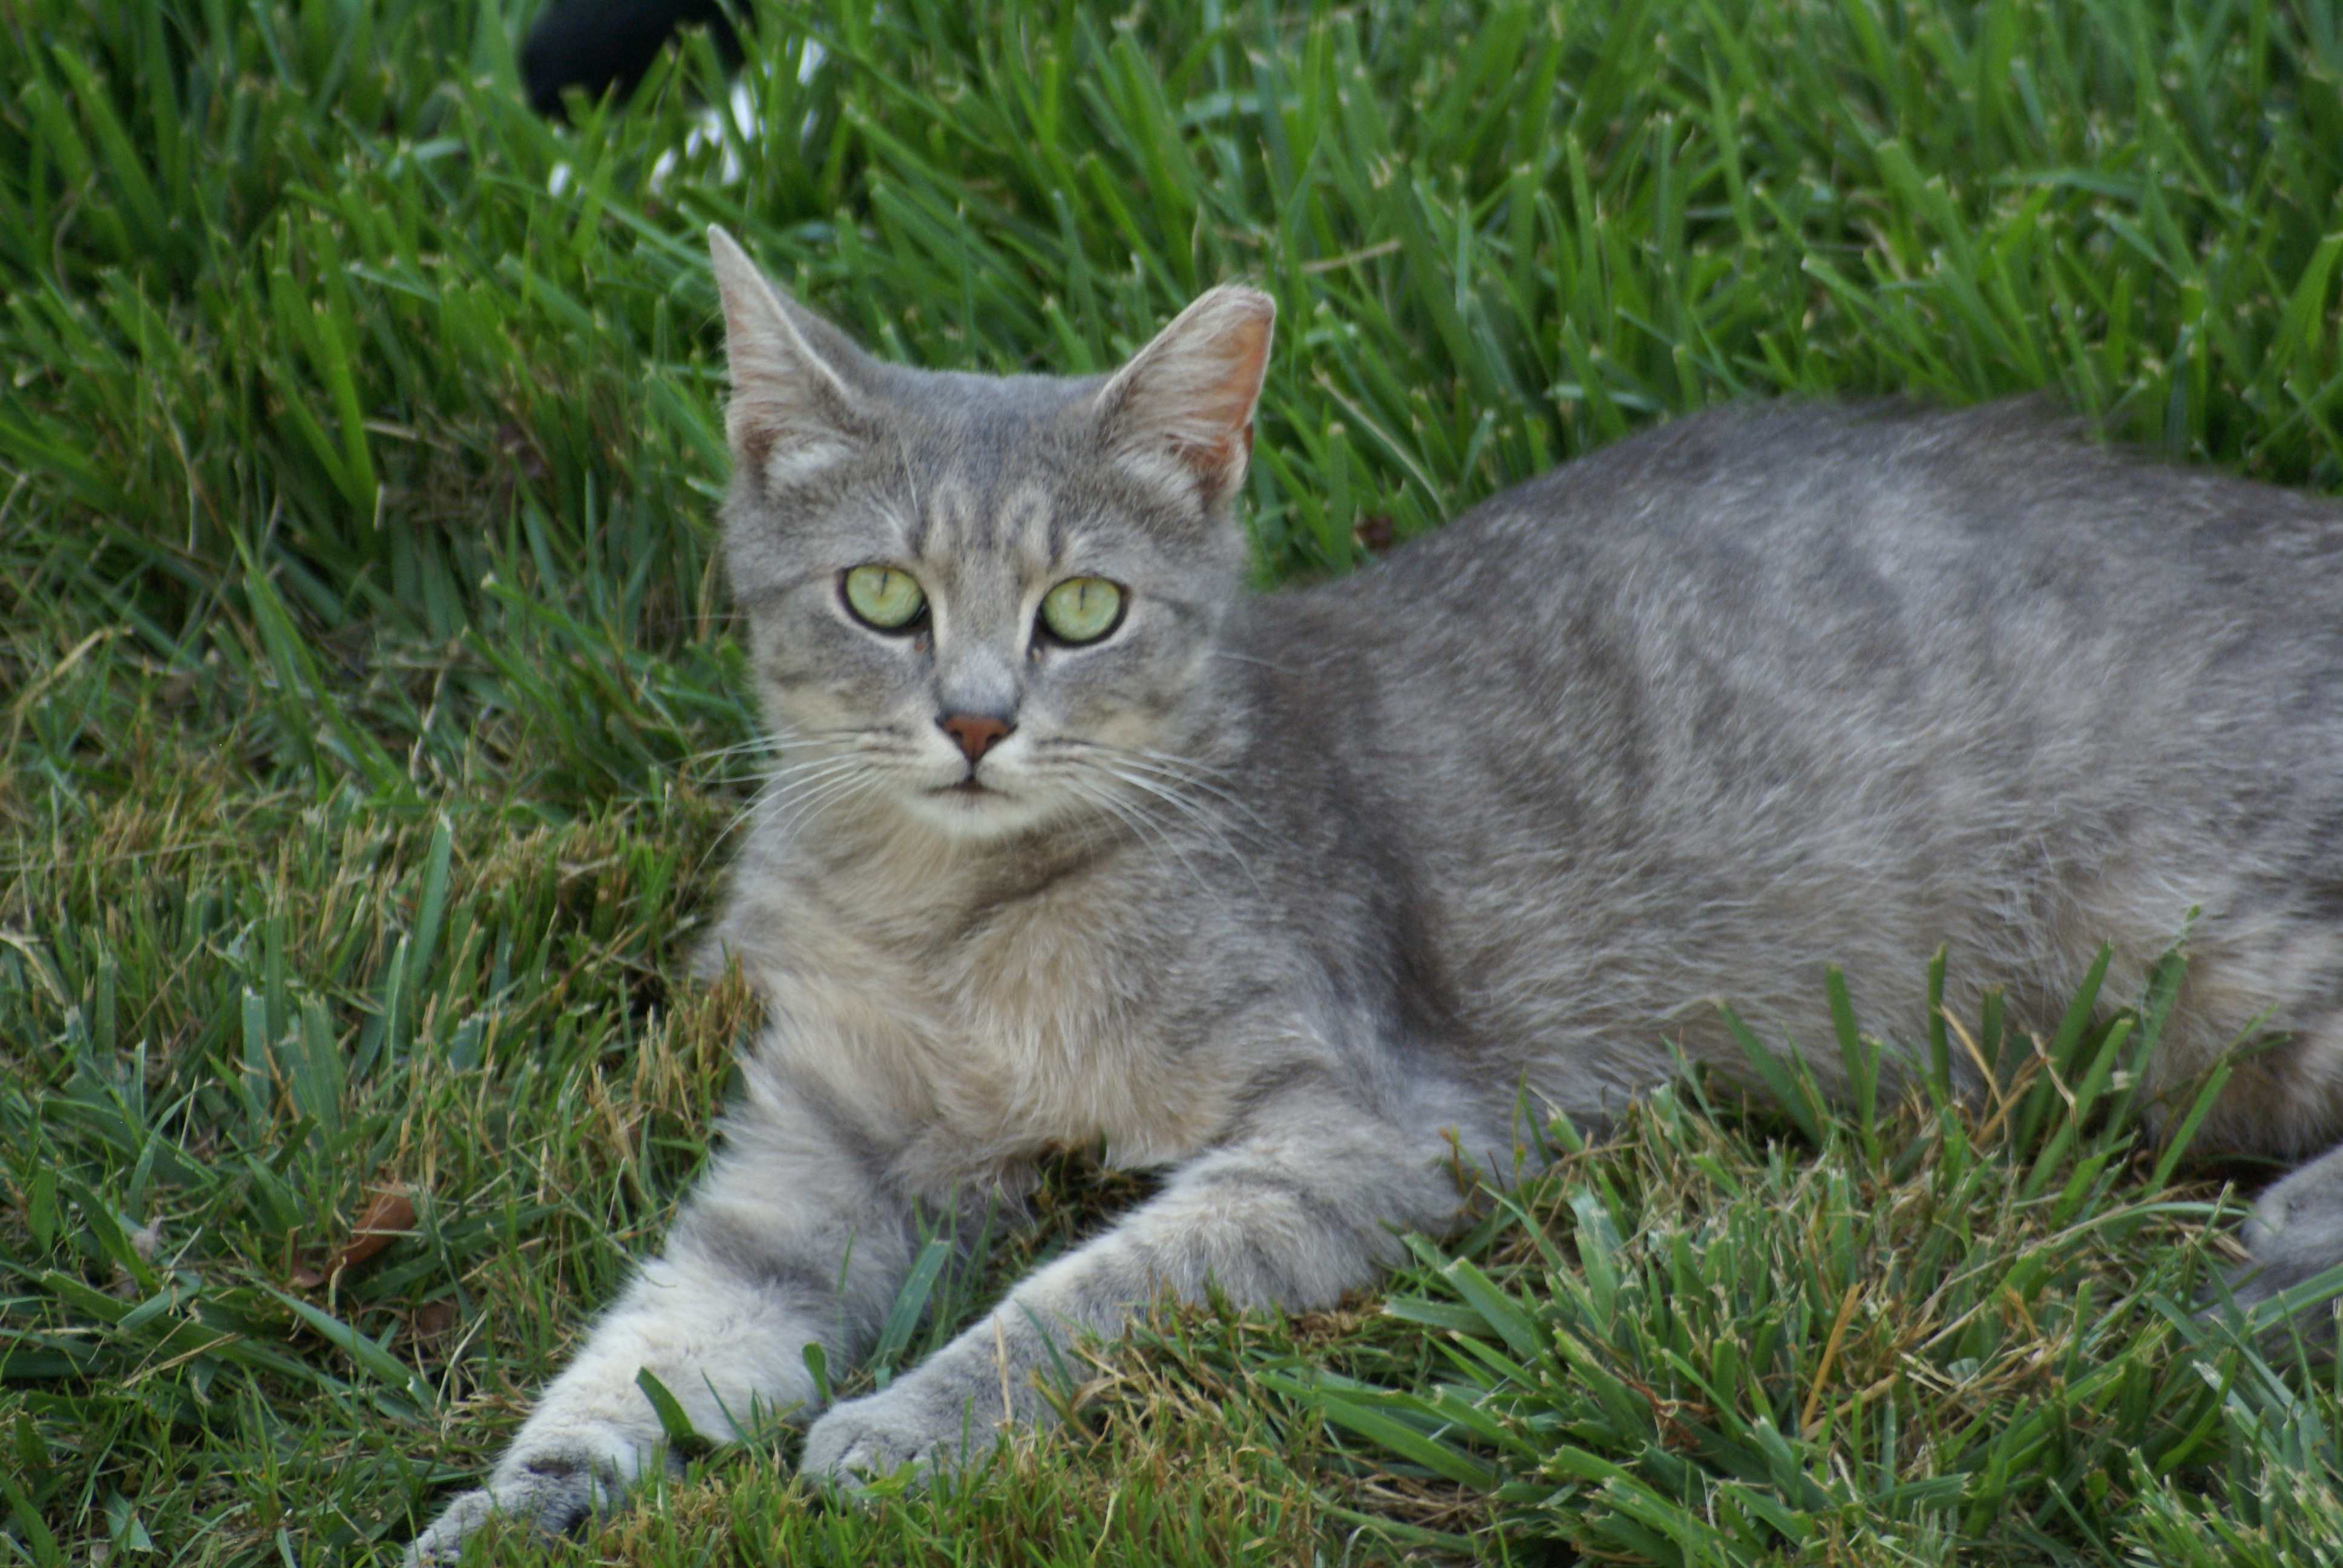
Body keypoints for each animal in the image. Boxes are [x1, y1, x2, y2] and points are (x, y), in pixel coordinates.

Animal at [412, 226, 2343, 1556]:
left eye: (1084, 610)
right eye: (883, 596)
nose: (971, 721)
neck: (954, 920)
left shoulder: (1364, 1130)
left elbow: (1084, 1294)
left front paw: (911, 1419)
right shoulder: (824, 1145)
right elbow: (663, 1335)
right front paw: (520, 1496)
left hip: (2204, 960)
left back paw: (2272, 1255)